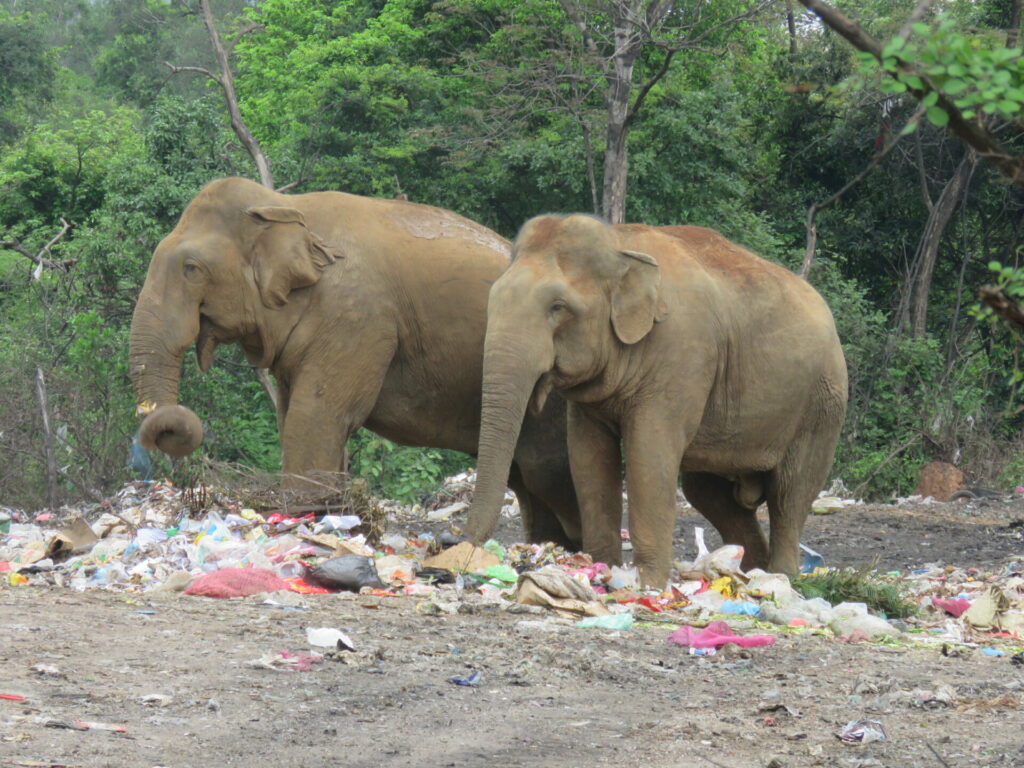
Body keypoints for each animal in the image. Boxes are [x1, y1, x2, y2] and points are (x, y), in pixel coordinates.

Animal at [125, 176, 585, 548]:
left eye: (191, 269)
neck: (285, 207)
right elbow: (295, 415)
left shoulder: (358, 316)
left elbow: (317, 415)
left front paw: (308, 524)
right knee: (530, 483)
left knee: (548, 472)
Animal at [466, 217, 847, 589]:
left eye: (557, 307)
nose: (459, 550)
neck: (620, 244)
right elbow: (588, 456)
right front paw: (603, 570)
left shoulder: (681, 355)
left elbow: (649, 452)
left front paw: (647, 584)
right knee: (711, 494)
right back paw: (748, 572)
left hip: (822, 404)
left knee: (789, 492)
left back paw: (781, 577)